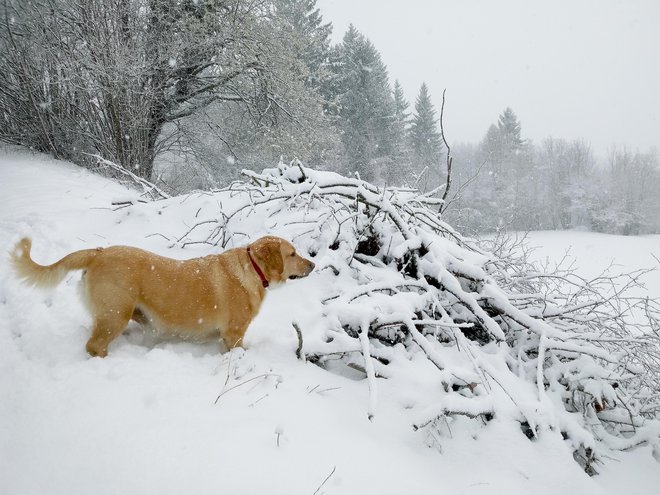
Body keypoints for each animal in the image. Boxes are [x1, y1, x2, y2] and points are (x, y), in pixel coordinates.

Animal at [10, 236, 314, 356]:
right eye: (292, 253)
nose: (313, 264)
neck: (251, 269)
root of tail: (99, 252)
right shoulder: (234, 334)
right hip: (115, 314)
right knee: (94, 345)